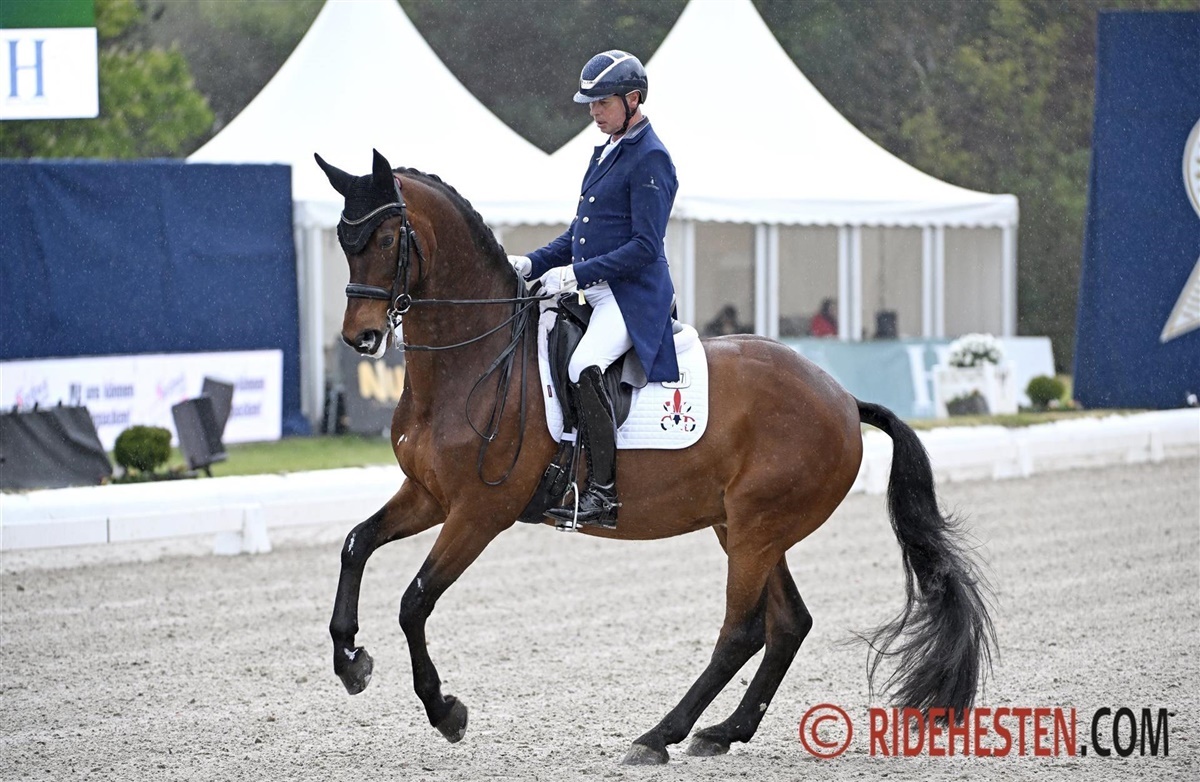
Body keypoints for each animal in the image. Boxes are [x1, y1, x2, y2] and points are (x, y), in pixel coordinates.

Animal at [315, 150, 996, 765]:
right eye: (345, 241)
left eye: (385, 237)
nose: (360, 338)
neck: (470, 361)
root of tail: (844, 399)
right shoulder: (430, 495)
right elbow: (354, 544)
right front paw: (350, 661)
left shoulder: (481, 511)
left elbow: (414, 602)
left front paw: (445, 710)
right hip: (746, 526)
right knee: (788, 625)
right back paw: (722, 732)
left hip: (757, 527)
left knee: (742, 631)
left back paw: (659, 736)